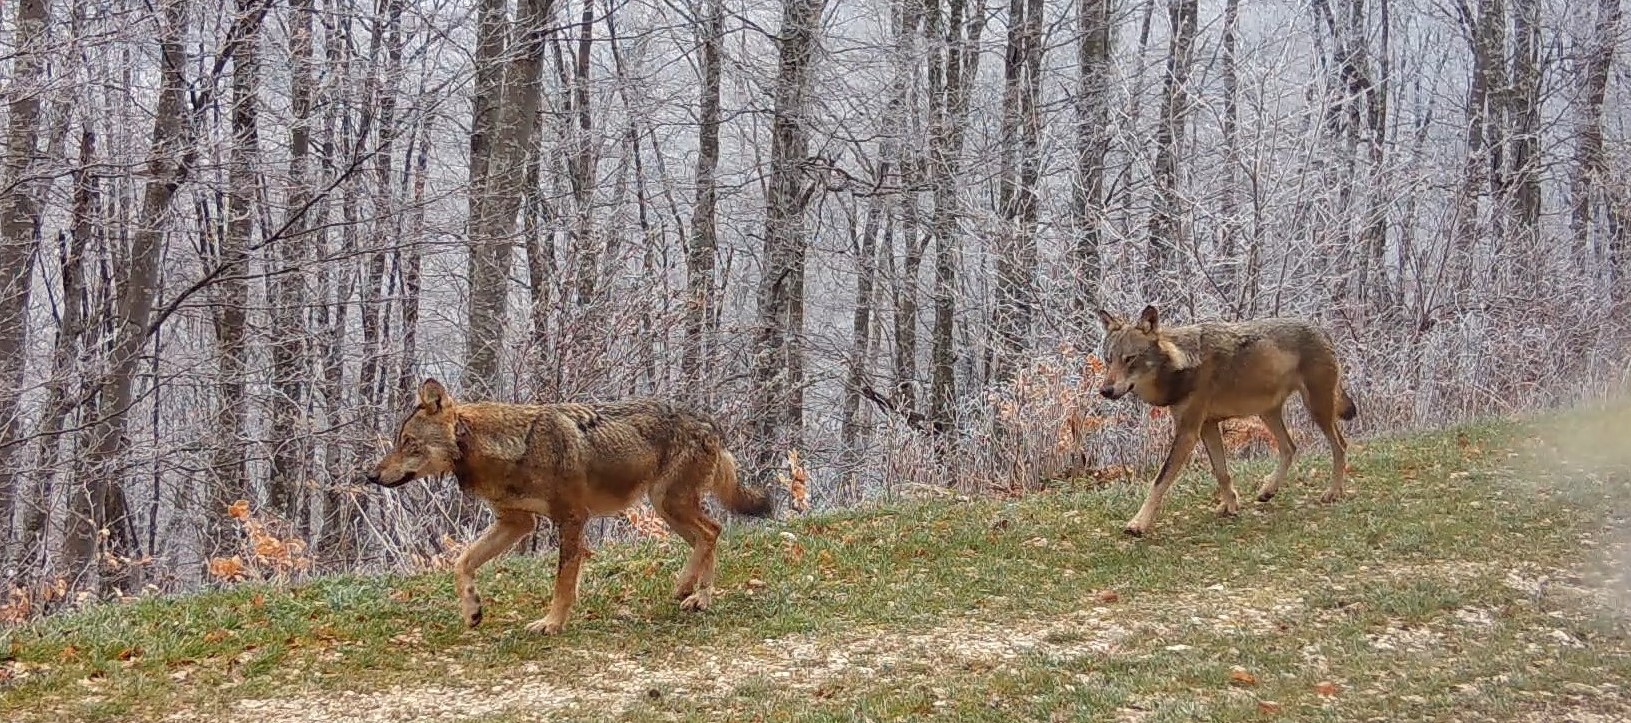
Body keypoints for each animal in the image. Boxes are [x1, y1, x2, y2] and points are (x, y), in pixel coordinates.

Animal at [366, 378, 773, 633]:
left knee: (712, 532)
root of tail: (710, 421)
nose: (371, 475)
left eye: (408, 443)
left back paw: (697, 594)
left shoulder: (571, 519)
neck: (509, 449)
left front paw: (551, 624)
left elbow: (563, 581)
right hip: (667, 509)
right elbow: (462, 563)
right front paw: (472, 611)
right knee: (710, 534)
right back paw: (690, 591)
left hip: (670, 504)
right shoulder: (517, 524)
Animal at [1096, 305, 1363, 538]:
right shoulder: (1207, 427)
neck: (1181, 365)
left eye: (1130, 359)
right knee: (1290, 447)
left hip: (1316, 409)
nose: (1105, 391)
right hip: (1267, 412)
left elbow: (1160, 480)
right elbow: (1221, 471)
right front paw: (1231, 506)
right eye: (1108, 359)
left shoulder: (1188, 431)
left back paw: (1333, 493)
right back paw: (1268, 490)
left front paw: (1138, 524)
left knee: (1340, 446)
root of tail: (1322, 330)